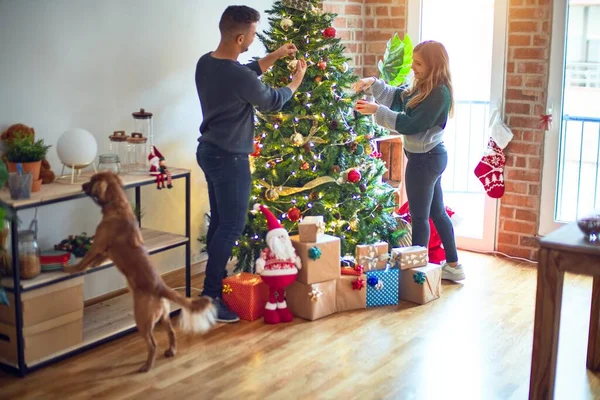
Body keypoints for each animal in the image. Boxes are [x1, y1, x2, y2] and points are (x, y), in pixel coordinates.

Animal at [65, 171, 216, 372]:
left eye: (90, 181)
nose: (82, 186)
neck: (118, 205)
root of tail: (160, 287)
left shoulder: (97, 244)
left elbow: (84, 262)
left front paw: (70, 268)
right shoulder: (104, 251)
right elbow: (96, 260)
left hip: (142, 320)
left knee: (152, 344)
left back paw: (146, 366)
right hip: (164, 316)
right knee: (171, 332)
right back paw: (171, 351)